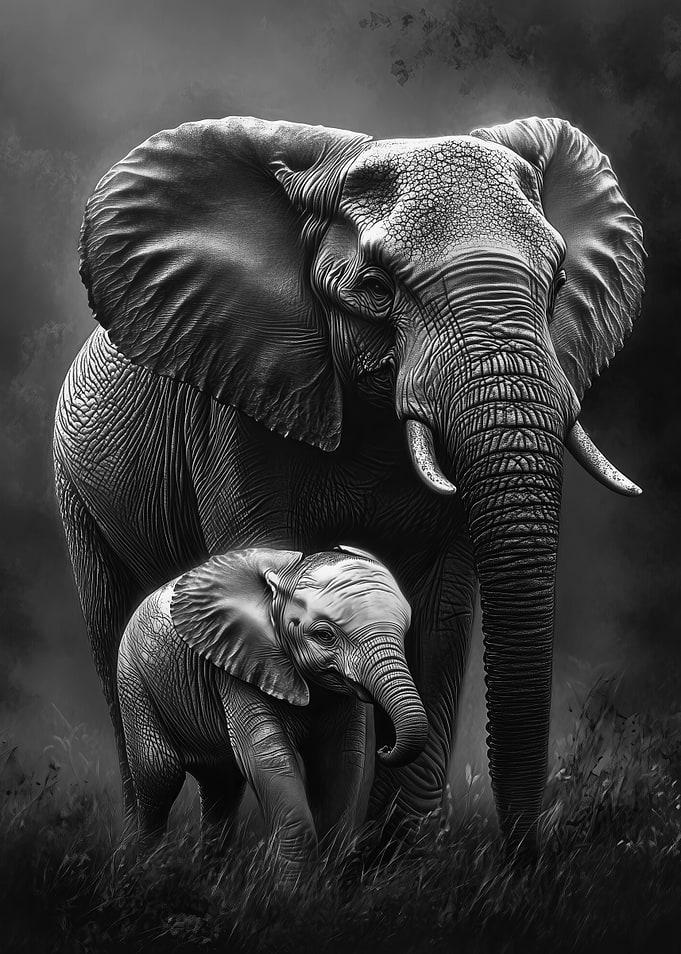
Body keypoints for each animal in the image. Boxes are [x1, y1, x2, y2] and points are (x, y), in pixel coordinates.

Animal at [117, 545, 426, 871]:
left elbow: (339, 760)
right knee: (160, 775)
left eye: (405, 630)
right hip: (132, 678)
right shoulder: (239, 664)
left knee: (222, 785)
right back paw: (148, 873)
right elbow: (268, 757)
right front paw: (294, 884)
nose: (385, 747)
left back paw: (211, 875)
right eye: (325, 635)